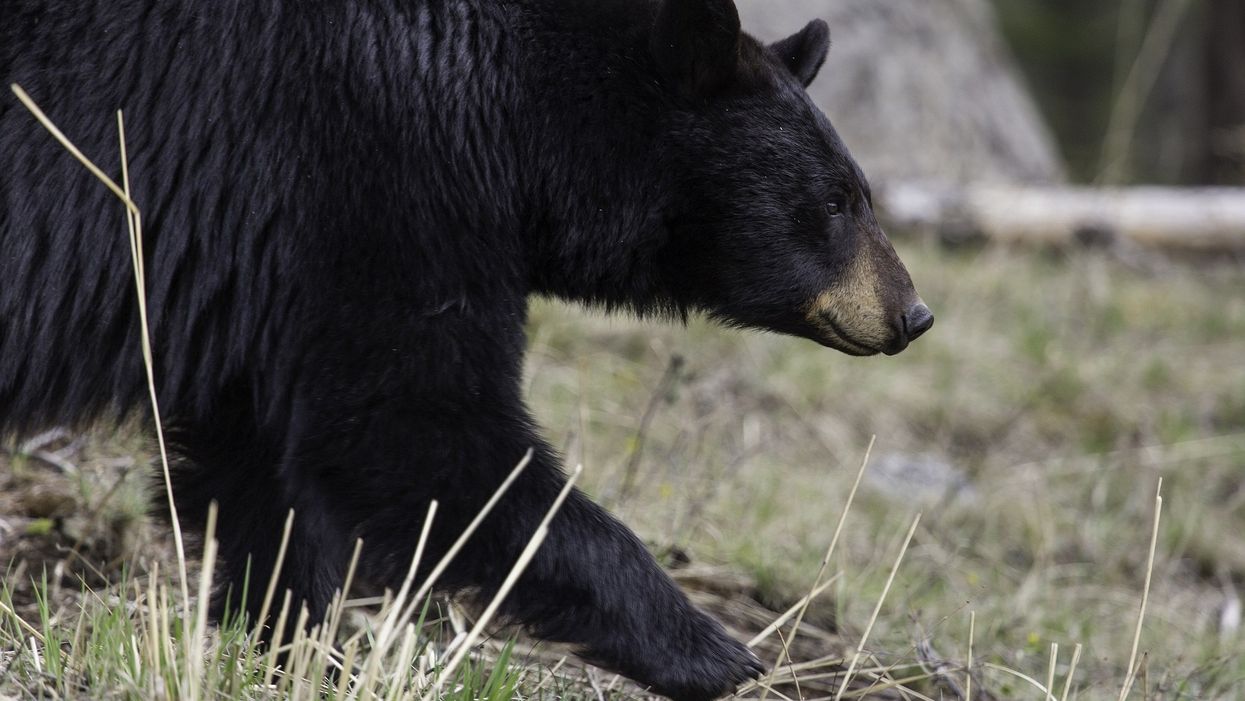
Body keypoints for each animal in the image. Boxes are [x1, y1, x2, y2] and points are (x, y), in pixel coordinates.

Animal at [2, 0, 936, 697]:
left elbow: (262, 471)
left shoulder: (267, 279)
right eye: (837, 199)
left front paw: (297, 648)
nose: (913, 312)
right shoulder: (372, 183)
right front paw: (714, 652)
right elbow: (417, 431)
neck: (513, 109)